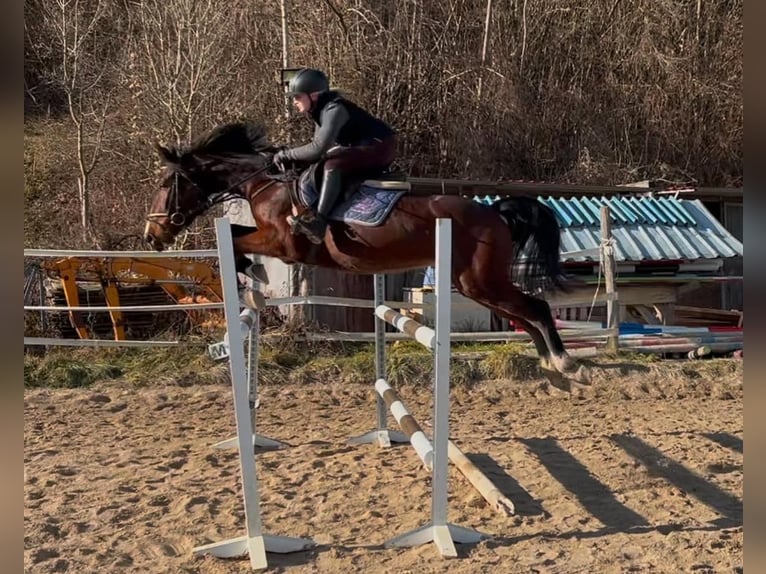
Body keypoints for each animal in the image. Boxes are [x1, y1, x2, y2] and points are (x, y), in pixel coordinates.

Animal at [142, 121, 588, 388]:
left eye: (167, 184)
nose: (151, 235)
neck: (264, 183)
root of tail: (495, 211)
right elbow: (235, 235)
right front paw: (248, 273)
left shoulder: (283, 244)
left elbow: (237, 242)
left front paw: (248, 267)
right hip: (474, 284)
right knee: (524, 315)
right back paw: (550, 366)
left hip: (480, 281)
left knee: (535, 308)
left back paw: (567, 363)